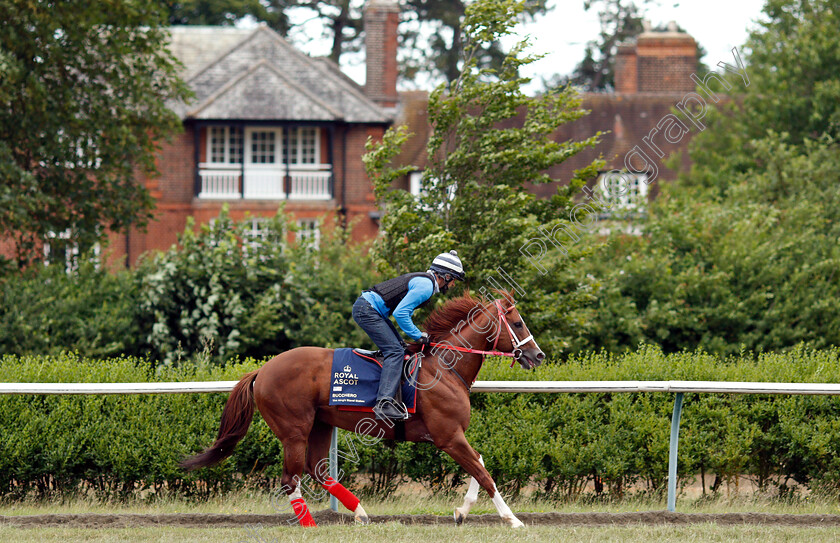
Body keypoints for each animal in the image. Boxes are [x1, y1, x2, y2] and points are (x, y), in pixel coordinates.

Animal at [180, 292, 544, 528]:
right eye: (517, 323)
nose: (537, 355)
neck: (445, 368)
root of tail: (263, 370)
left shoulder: (451, 436)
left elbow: (479, 464)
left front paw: (462, 511)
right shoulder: (448, 436)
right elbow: (484, 474)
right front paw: (512, 519)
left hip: (321, 424)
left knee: (318, 470)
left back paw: (359, 512)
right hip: (294, 430)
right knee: (290, 478)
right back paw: (310, 524)